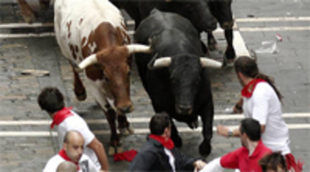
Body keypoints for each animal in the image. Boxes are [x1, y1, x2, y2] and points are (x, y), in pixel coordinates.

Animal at [54, 0, 151, 155]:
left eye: (128, 72)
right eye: (106, 76)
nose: (126, 107)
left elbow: (116, 102)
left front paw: (123, 123)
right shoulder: (93, 82)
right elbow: (109, 111)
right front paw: (114, 141)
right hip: (64, 48)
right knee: (73, 67)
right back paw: (80, 91)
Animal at [134, 9, 218, 157]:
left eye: (197, 80)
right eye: (172, 79)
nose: (184, 108)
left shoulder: (207, 101)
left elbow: (207, 129)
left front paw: (205, 148)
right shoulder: (158, 104)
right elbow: (169, 123)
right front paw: (177, 140)